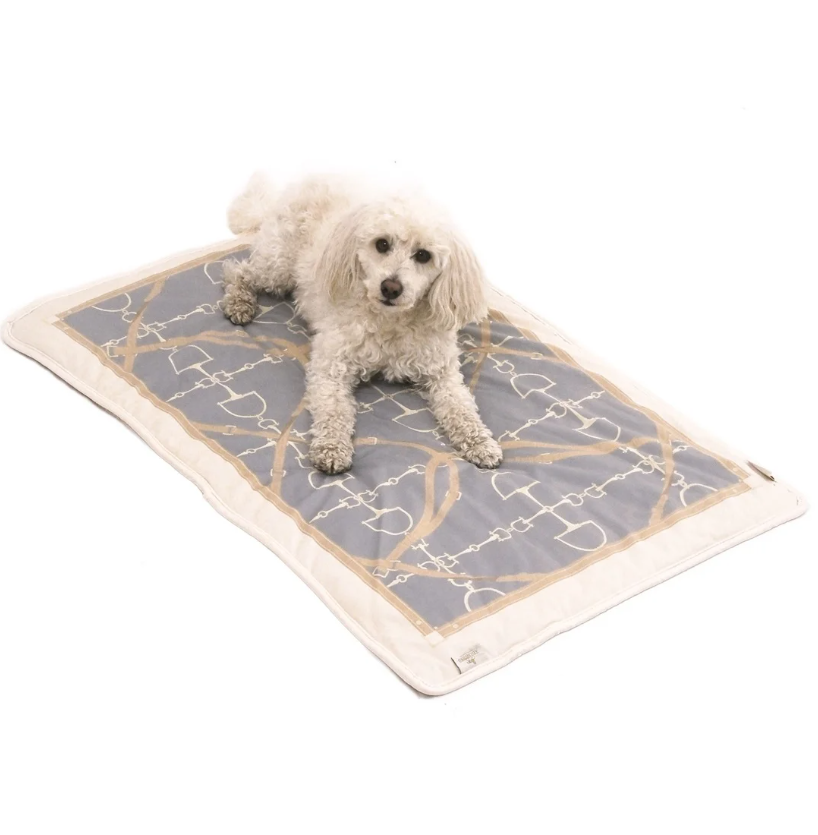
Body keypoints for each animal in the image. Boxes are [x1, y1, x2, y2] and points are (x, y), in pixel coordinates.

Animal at [221, 174, 502, 475]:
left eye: (423, 255)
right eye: (382, 244)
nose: (391, 287)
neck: (391, 323)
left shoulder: (443, 373)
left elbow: (462, 409)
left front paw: (481, 443)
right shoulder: (331, 366)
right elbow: (333, 409)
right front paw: (331, 448)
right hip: (278, 266)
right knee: (237, 270)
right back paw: (239, 304)